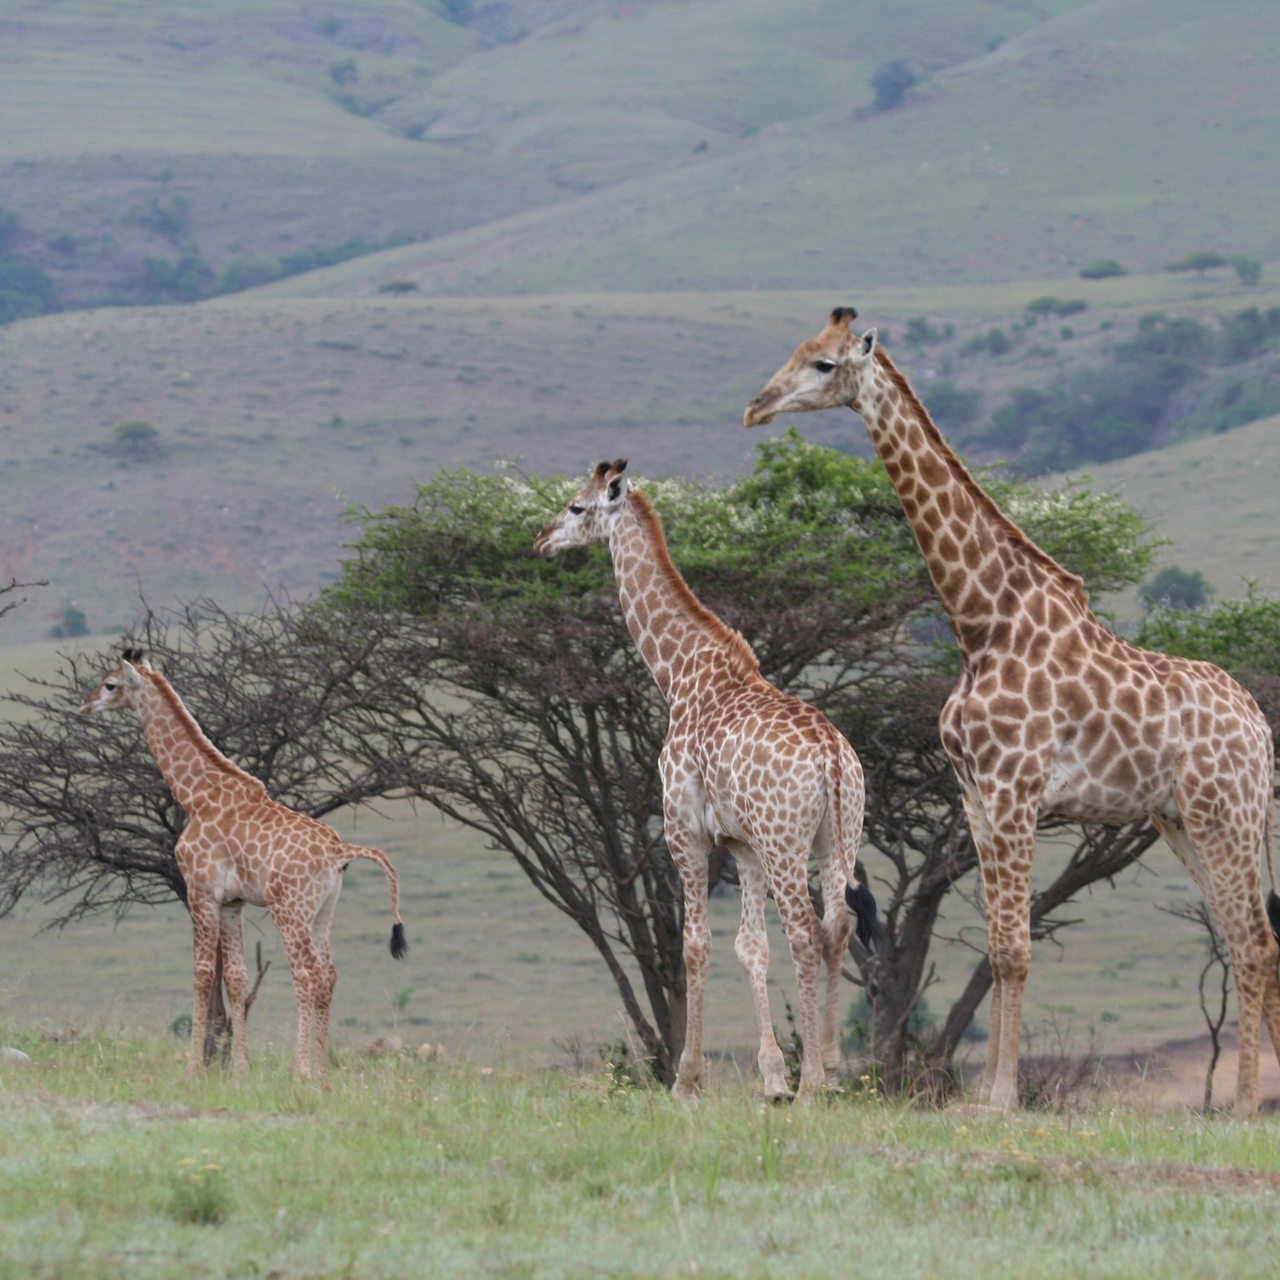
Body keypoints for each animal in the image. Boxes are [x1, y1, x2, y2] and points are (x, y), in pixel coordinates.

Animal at [78, 650, 404, 1080]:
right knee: (329, 975)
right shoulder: (232, 903)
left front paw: (194, 1070)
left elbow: (202, 973)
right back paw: (323, 1073)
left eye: (110, 684)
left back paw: (300, 1071)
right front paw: (240, 1071)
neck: (196, 795)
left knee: (307, 974)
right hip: (322, 912)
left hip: (289, 910)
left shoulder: (199, 891)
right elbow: (236, 977)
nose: (84, 706)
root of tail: (339, 852)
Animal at [529, 460, 870, 1100]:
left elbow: (695, 945)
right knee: (839, 924)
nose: (540, 540)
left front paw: (688, 1079)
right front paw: (772, 1078)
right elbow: (750, 946)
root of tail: (833, 757)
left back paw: (814, 1081)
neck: (681, 675)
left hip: (787, 842)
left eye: (576, 507)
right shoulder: (742, 844)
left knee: (807, 932)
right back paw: (833, 1073)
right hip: (839, 835)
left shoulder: (684, 831)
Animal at [742, 307, 1280, 1111]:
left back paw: (1245, 1106)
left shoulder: (1016, 791)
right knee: (1248, 934)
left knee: (1252, 941)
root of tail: (1260, 726)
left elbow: (1019, 950)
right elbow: (999, 949)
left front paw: (1000, 1097)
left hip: (1228, 814)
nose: (756, 407)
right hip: (1182, 819)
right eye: (797, 351)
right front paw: (992, 1093)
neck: (983, 622)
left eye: (824, 364)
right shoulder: (977, 799)